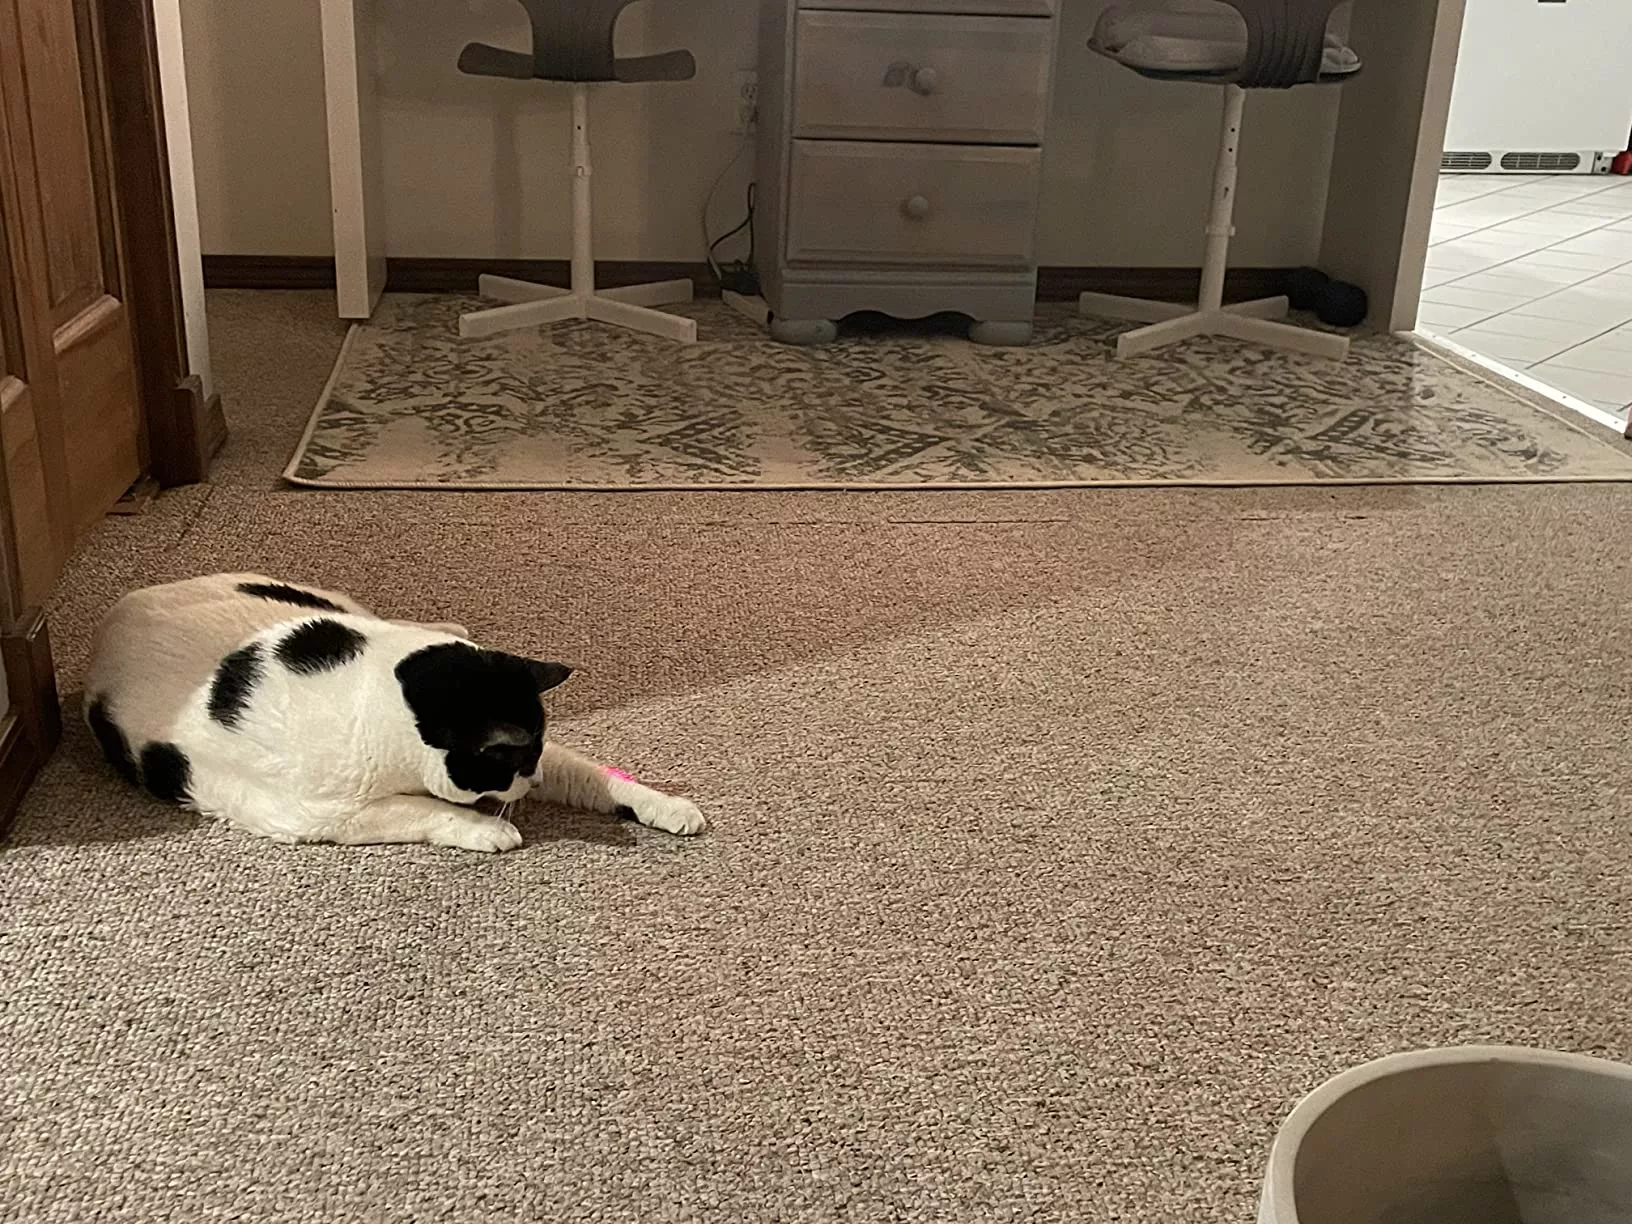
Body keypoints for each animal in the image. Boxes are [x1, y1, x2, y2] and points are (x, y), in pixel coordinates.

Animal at [82, 573, 706, 852]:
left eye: (530, 756)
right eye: (514, 761)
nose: (531, 783)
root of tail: (119, 611)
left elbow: (599, 777)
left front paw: (668, 806)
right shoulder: (321, 815)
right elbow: (419, 810)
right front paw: (485, 828)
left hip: (325, 603)